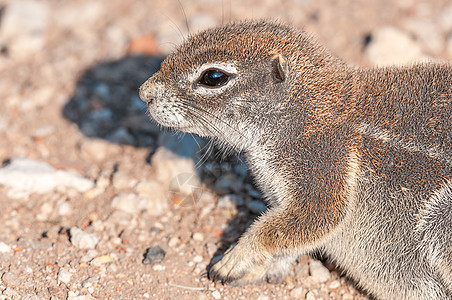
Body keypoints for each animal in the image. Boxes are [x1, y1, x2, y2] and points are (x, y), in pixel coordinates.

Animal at [139, 19, 452, 298]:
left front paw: (235, 258)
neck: (314, 112)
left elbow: (311, 219)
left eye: (213, 77)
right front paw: (257, 269)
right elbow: (292, 237)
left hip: (440, 220)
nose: (144, 93)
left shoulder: (324, 165)